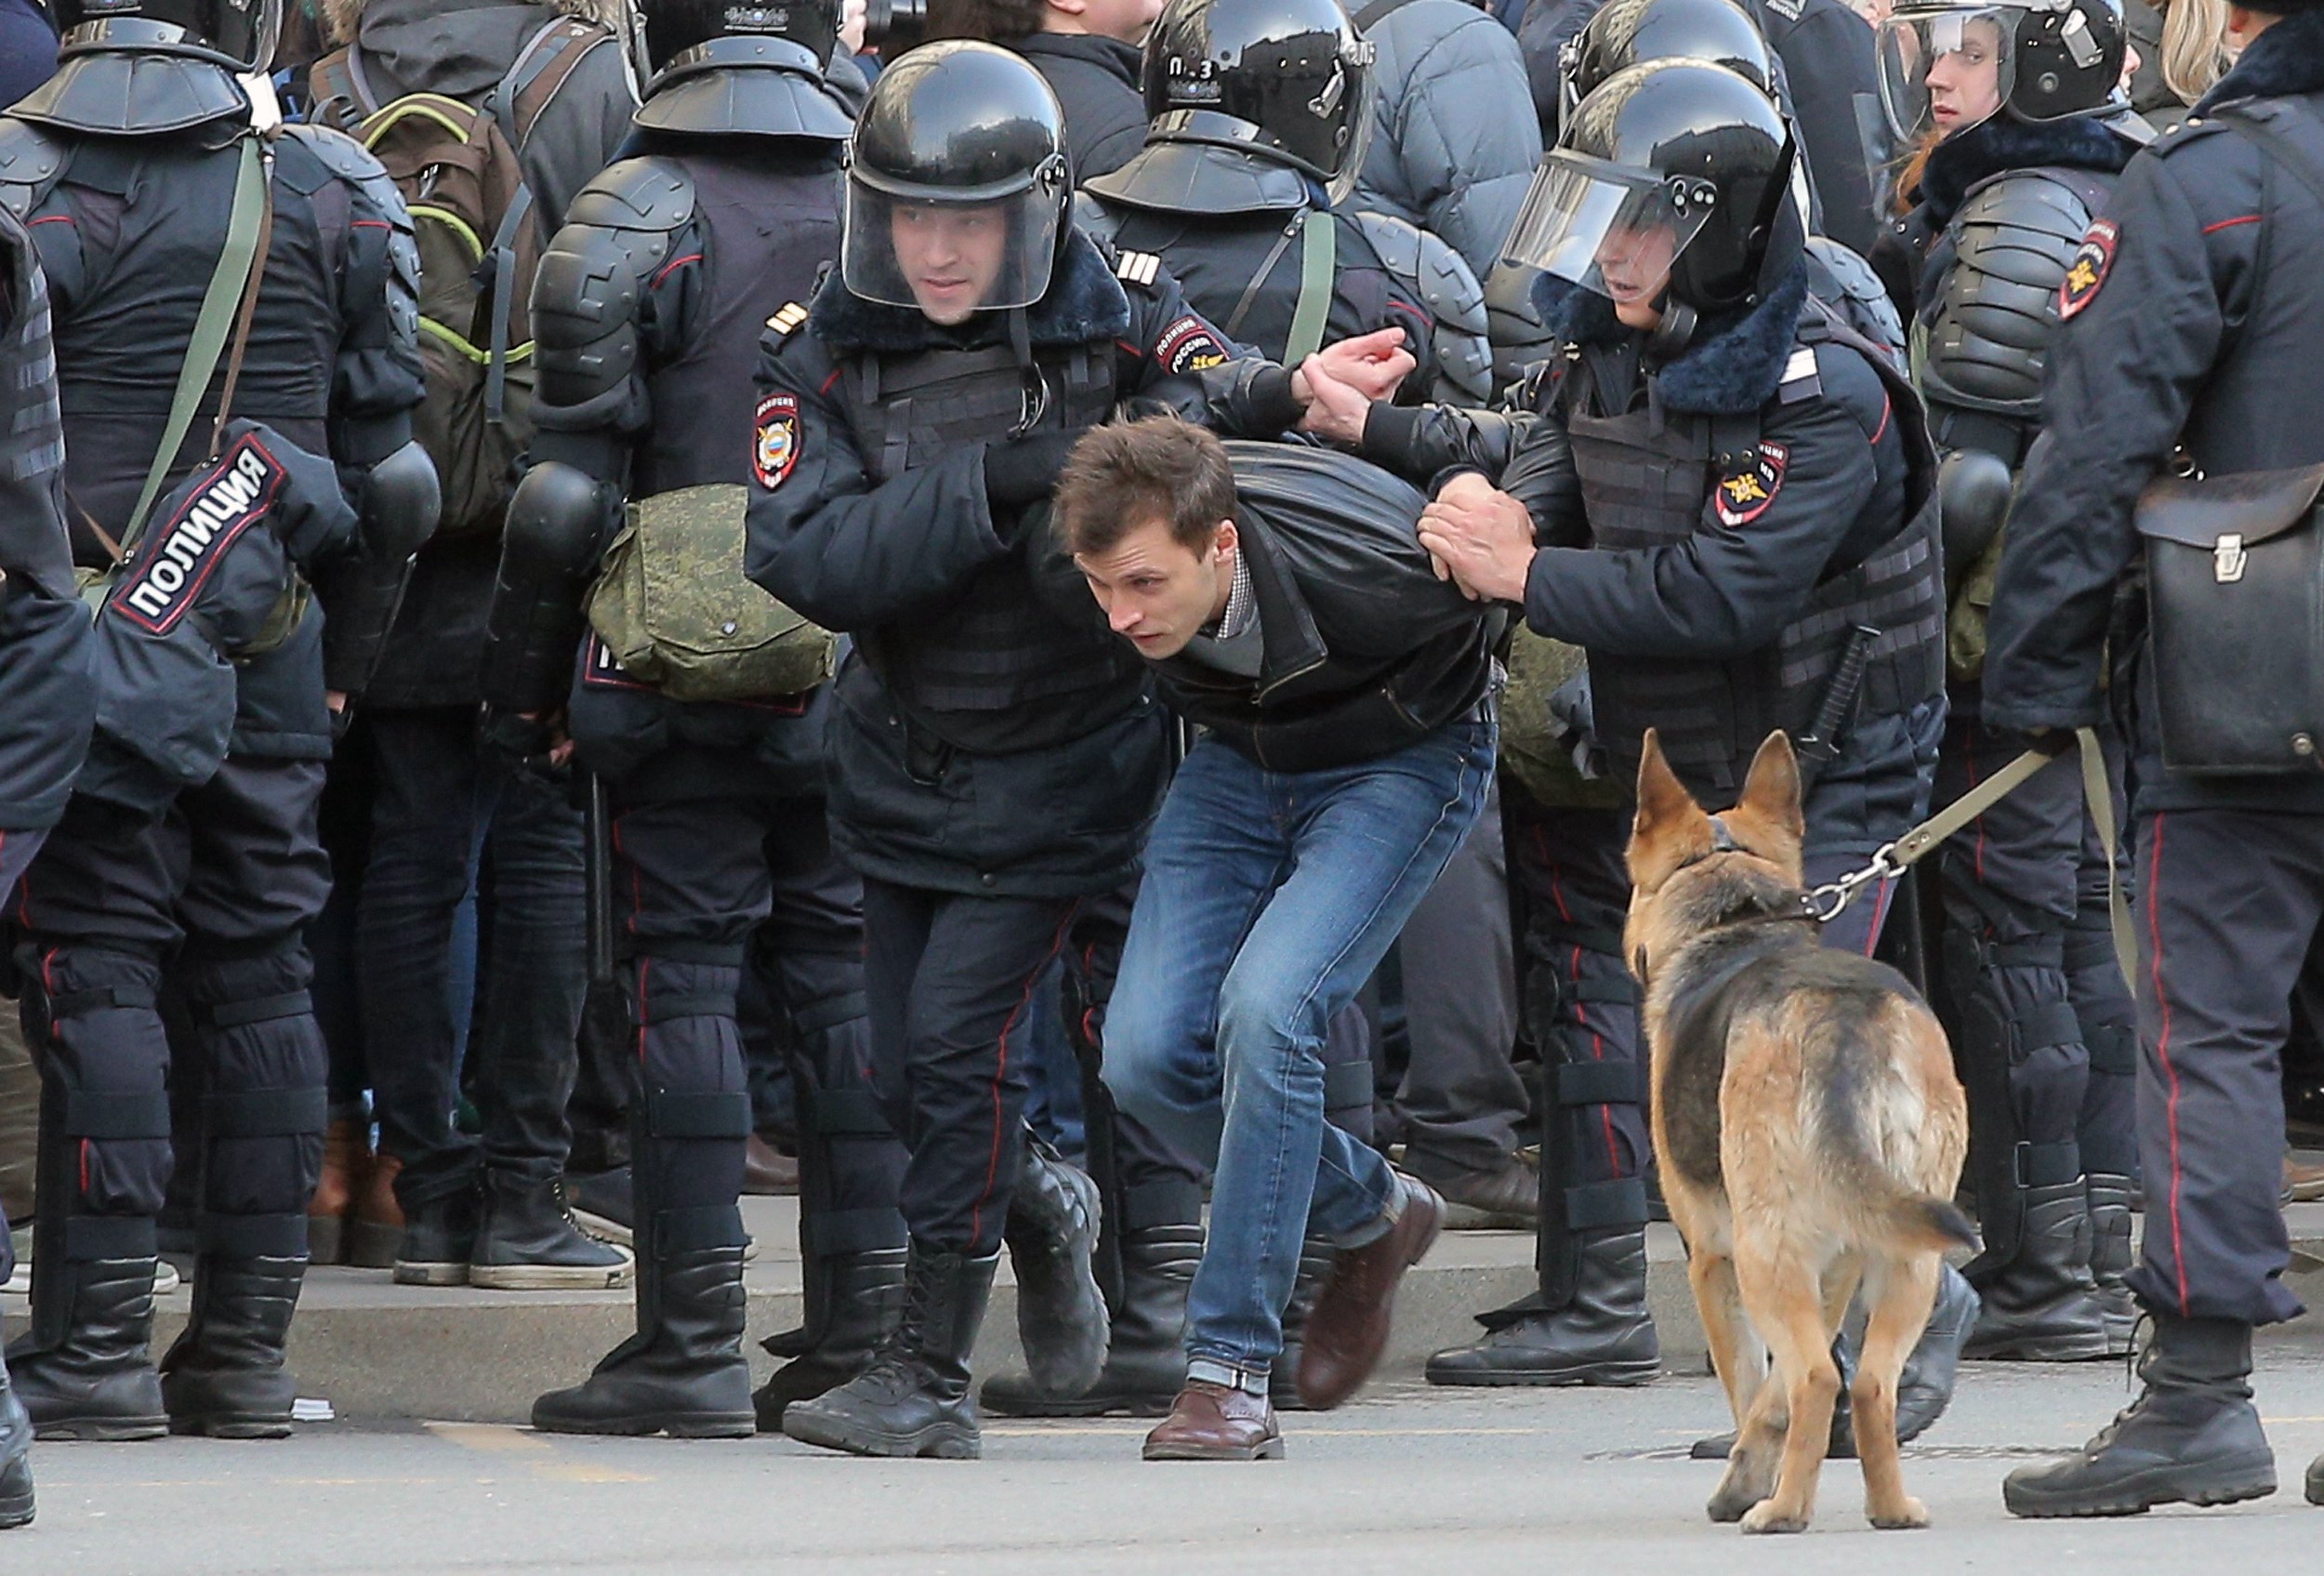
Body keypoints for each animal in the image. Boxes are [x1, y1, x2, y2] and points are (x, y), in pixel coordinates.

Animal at [1627, 735, 1971, 1534]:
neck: (1735, 921)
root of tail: (1844, 1018)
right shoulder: (1838, 1263)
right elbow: (1777, 1390)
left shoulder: (1713, 1262)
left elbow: (1754, 1383)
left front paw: (1744, 1476)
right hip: (1905, 1256)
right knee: (1869, 1382)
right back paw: (1889, 1505)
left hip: (1765, 1250)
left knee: (1817, 1374)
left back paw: (1779, 1510)